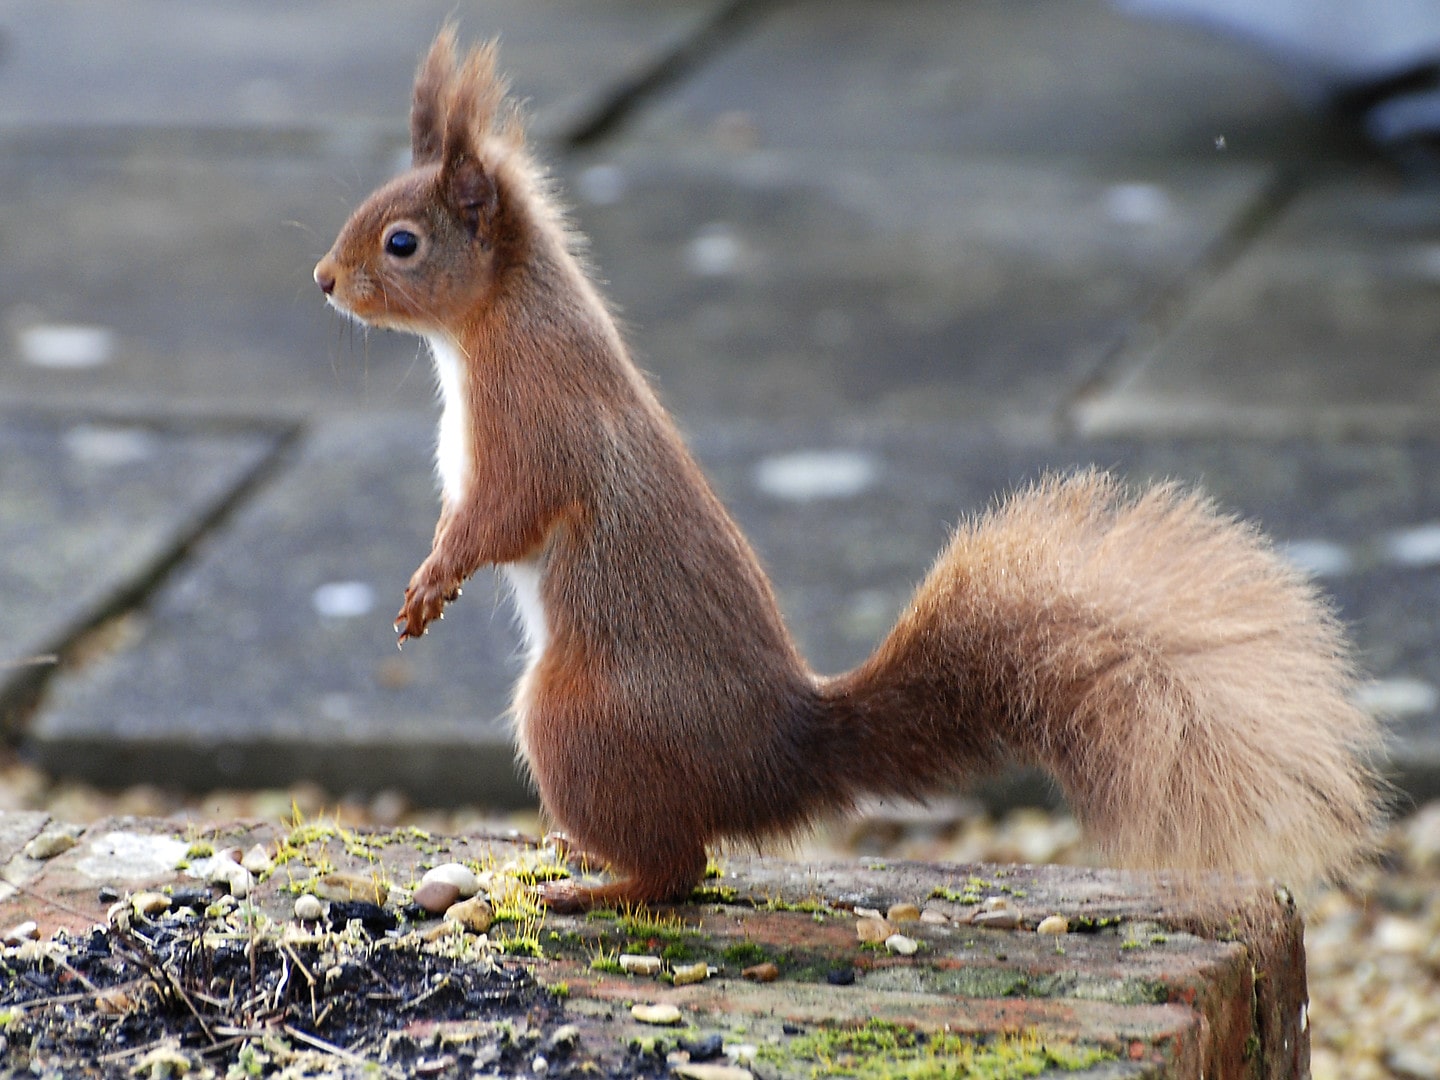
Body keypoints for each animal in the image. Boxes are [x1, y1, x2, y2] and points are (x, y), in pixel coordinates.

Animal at [315, 29, 1382, 915]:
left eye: (403, 243)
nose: (324, 282)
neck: (494, 322)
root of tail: (774, 759)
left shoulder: (536, 427)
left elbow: (501, 518)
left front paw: (431, 584)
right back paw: (583, 858)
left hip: (577, 720)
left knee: (681, 867)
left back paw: (594, 886)